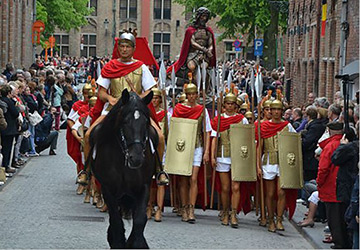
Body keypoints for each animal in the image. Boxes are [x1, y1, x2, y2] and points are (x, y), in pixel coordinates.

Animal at [89, 89, 158, 248]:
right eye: (125, 121)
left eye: (145, 122)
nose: (136, 157)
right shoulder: (108, 190)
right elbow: (116, 222)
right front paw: (118, 241)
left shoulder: (143, 187)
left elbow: (140, 220)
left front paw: (137, 243)